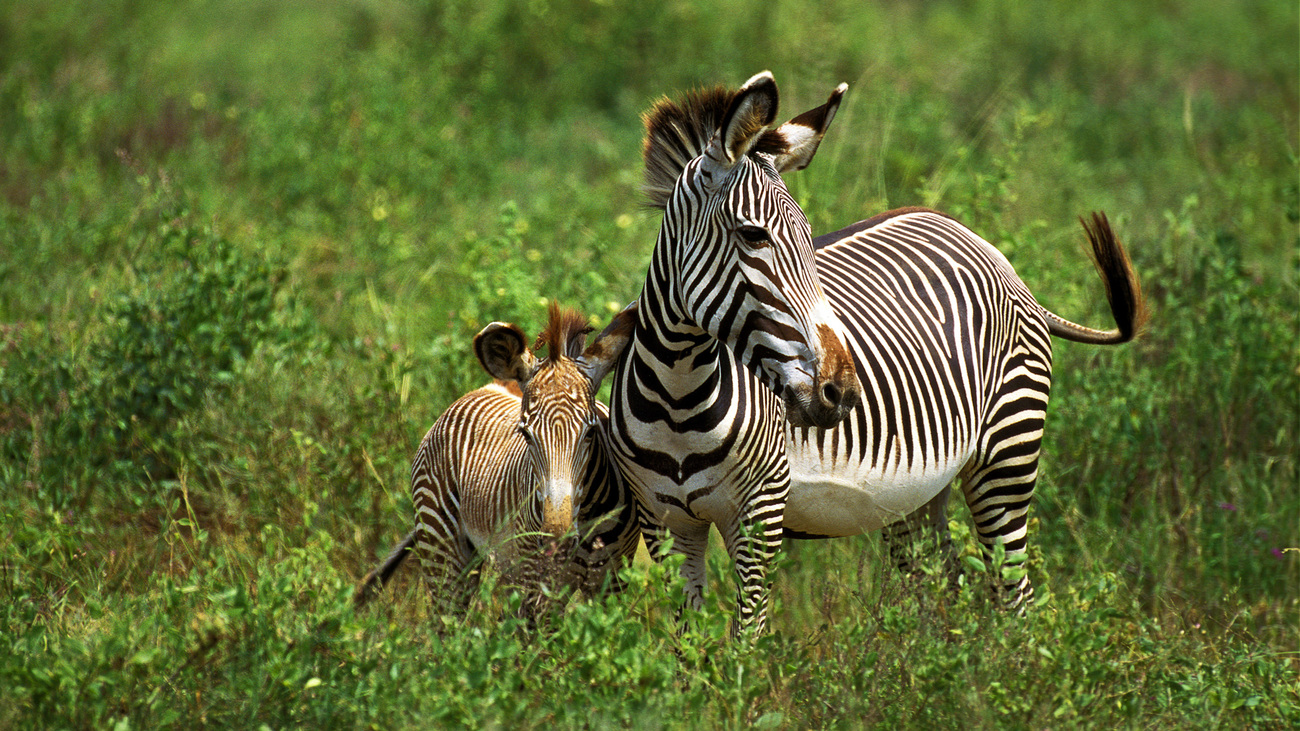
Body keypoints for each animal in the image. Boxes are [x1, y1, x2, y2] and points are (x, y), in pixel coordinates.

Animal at [608, 71, 863, 634]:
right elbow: (686, 639)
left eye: (810, 237)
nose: (841, 391)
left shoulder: (760, 519)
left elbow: (748, 637)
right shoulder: (663, 523)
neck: (677, 401)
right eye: (752, 234)